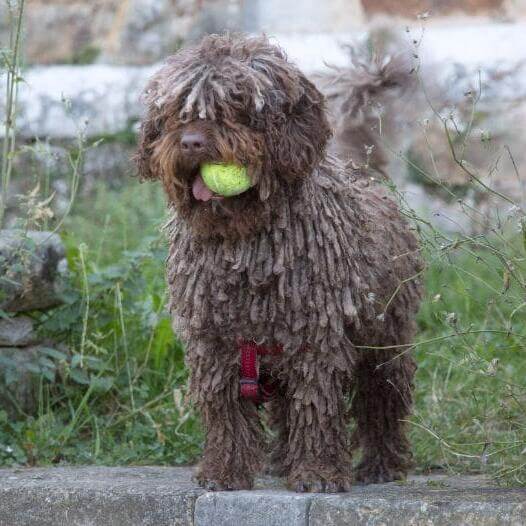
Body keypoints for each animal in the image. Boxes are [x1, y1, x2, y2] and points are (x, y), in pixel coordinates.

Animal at [136, 34, 424, 496]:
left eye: (237, 105)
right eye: (180, 109)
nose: (192, 142)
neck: (242, 244)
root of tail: (365, 173)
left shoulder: (316, 336)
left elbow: (318, 405)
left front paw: (319, 473)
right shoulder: (213, 341)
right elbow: (225, 411)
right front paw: (224, 470)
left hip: (385, 337)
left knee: (382, 397)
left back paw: (382, 464)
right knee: (290, 408)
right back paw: (286, 459)